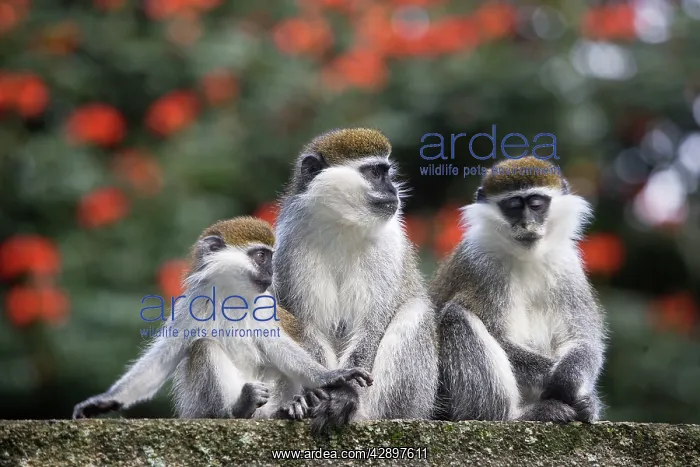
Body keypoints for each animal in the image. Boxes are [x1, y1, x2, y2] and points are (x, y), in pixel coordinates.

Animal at [72, 217, 372, 420]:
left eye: (271, 258)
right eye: (261, 256)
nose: (272, 273)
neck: (232, 296)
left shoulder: (264, 304)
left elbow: (279, 347)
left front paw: (329, 377)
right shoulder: (192, 303)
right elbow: (163, 358)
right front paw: (105, 401)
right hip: (200, 406)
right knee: (204, 347)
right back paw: (238, 409)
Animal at [272, 128, 439, 433]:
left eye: (387, 172)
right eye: (374, 173)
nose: (393, 190)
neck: (343, 225)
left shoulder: (387, 245)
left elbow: (370, 326)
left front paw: (345, 394)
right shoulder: (290, 248)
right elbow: (307, 326)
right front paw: (330, 384)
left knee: (416, 312)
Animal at [430, 156, 607, 423]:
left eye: (536, 204)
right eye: (513, 206)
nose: (527, 224)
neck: (526, 257)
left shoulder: (567, 265)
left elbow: (583, 339)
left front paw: (576, 385)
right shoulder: (481, 266)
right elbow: (500, 337)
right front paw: (562, 383)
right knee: (456, 317)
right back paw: (515, 415)